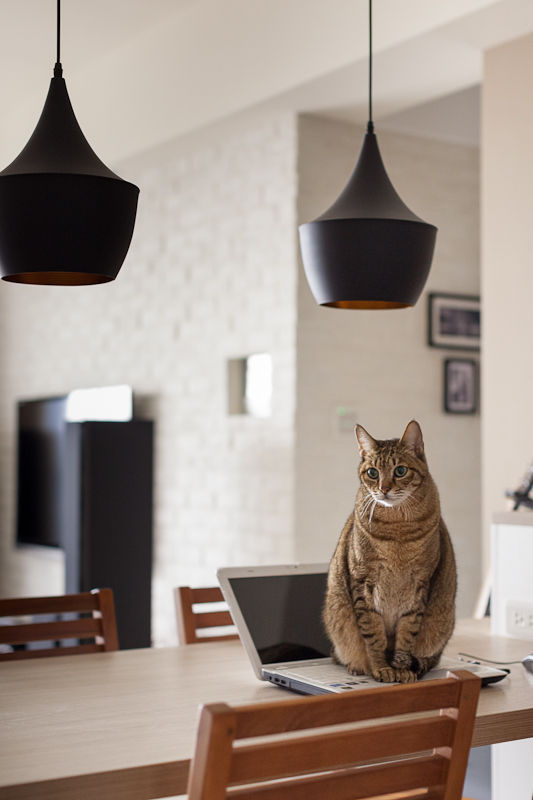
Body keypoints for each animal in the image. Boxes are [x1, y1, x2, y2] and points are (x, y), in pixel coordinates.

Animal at [322, 418, 456, 680]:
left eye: (400, 471)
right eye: (372, 473)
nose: (384, 489)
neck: (397, 533)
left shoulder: (420, 584)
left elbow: (407, 635)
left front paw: (401, 668)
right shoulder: (362, 582)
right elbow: (373, 636)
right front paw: (382, 668)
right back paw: (357, 666)